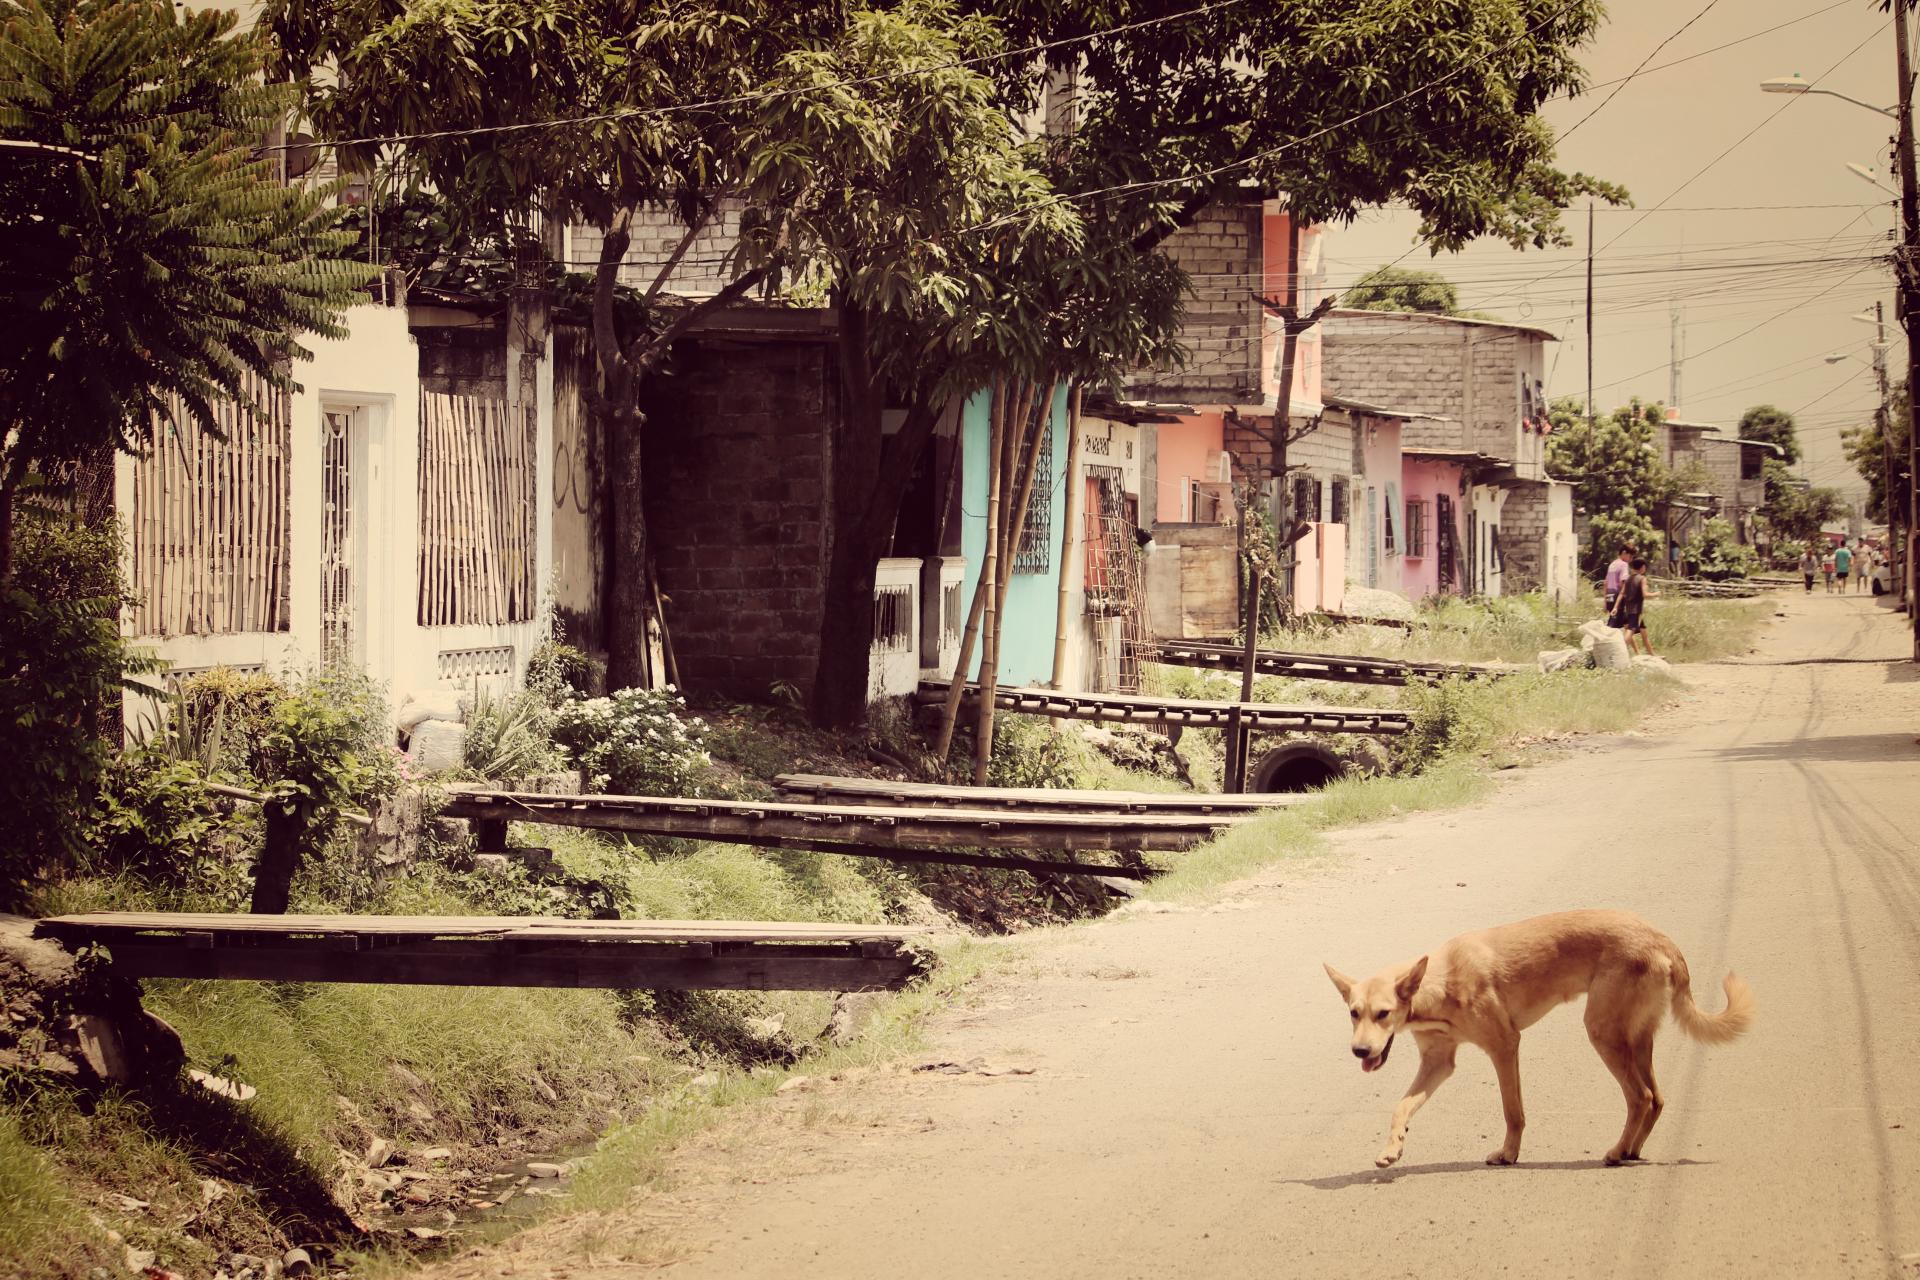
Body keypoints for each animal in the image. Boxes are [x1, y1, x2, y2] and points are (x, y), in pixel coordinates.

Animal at [1328, 909, 1751, 1174]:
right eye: (1353, 1013)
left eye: (1383, 1013)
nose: (1360, 1051)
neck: (1439, 983)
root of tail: (1664, 941)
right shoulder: (1438, 1063)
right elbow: (1401, 1107)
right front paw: (1392, 1148)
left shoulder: (1504, 1046)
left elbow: (1512, 1111)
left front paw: (1509, 1154)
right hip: (1635, 1038)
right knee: (1657, 1098)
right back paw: (1631, 1149)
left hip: (1603, 1033)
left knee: (1641, 1097)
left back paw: (1617, 1153)